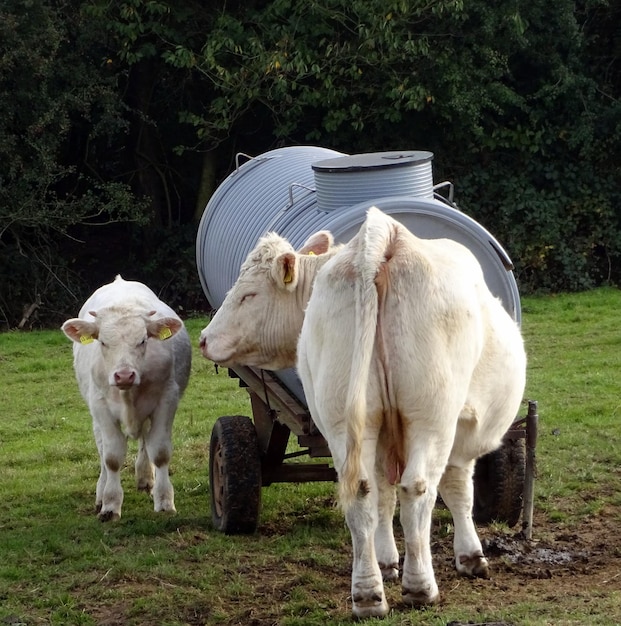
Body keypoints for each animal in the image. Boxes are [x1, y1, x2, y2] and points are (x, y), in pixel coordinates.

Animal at [62, 276, 191, 520]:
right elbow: (112, 457)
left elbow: (159, 452)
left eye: (142, 340)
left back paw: (145, 479)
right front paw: (110, 505)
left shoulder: (166, 400)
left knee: (144, 441)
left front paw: (164, 501)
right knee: (102, 449)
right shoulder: (101, 407)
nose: (123, 375)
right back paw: (101, 493)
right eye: (102, 342)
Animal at [201, 208, 524, 616]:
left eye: (248, 295)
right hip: (429, 418)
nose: (204, 339)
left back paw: (368, 594)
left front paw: (387, 562)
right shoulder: (459, 431)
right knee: (417, 489)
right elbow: (455, 490)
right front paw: (471, 557)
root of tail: (381, 238)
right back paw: (420, 587)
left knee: (361, 492)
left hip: (346, 419)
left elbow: (384, 496)